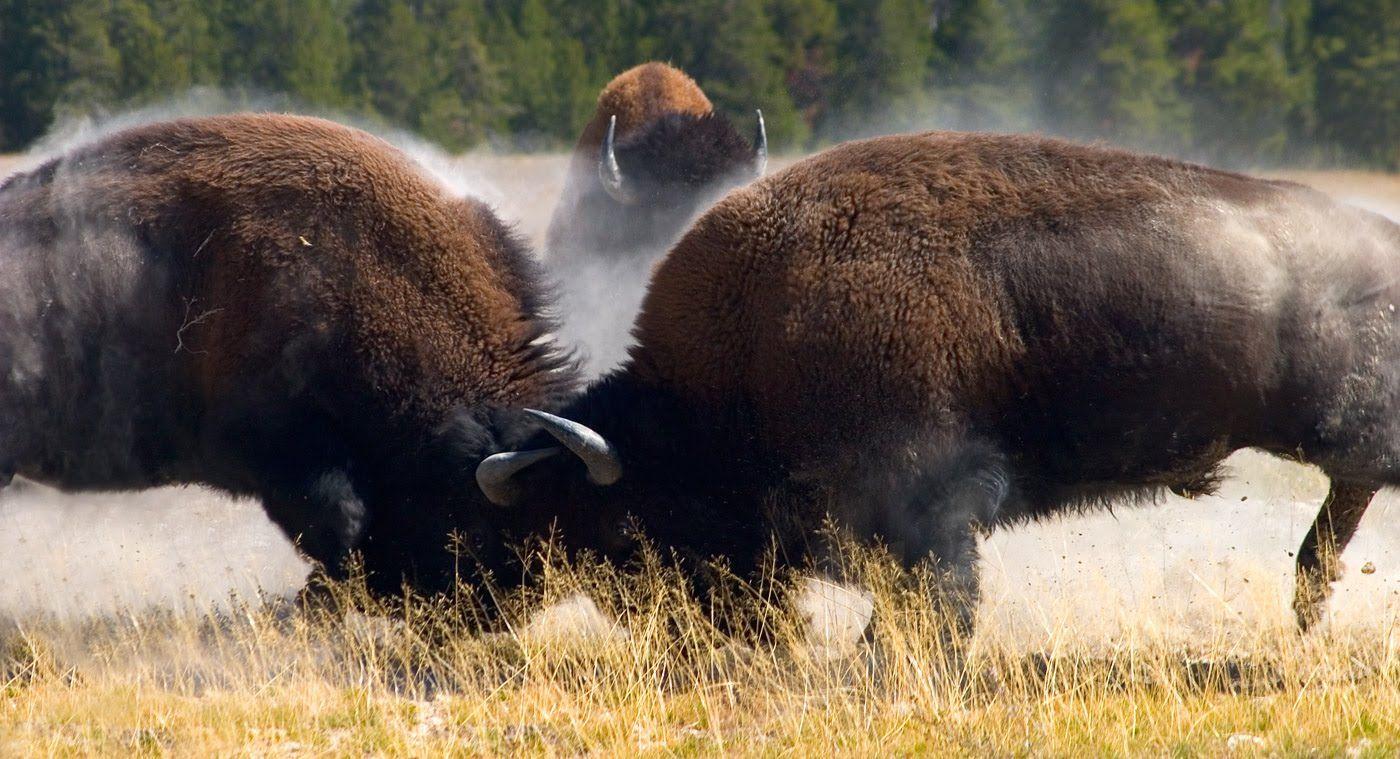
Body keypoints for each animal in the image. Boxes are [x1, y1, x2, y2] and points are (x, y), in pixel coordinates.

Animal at [480, 131, 1400, 632]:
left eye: (624, 527)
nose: (669, 627)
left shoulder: (929, 502)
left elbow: (935, 600)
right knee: (1340, 504)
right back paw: (1308, 600)